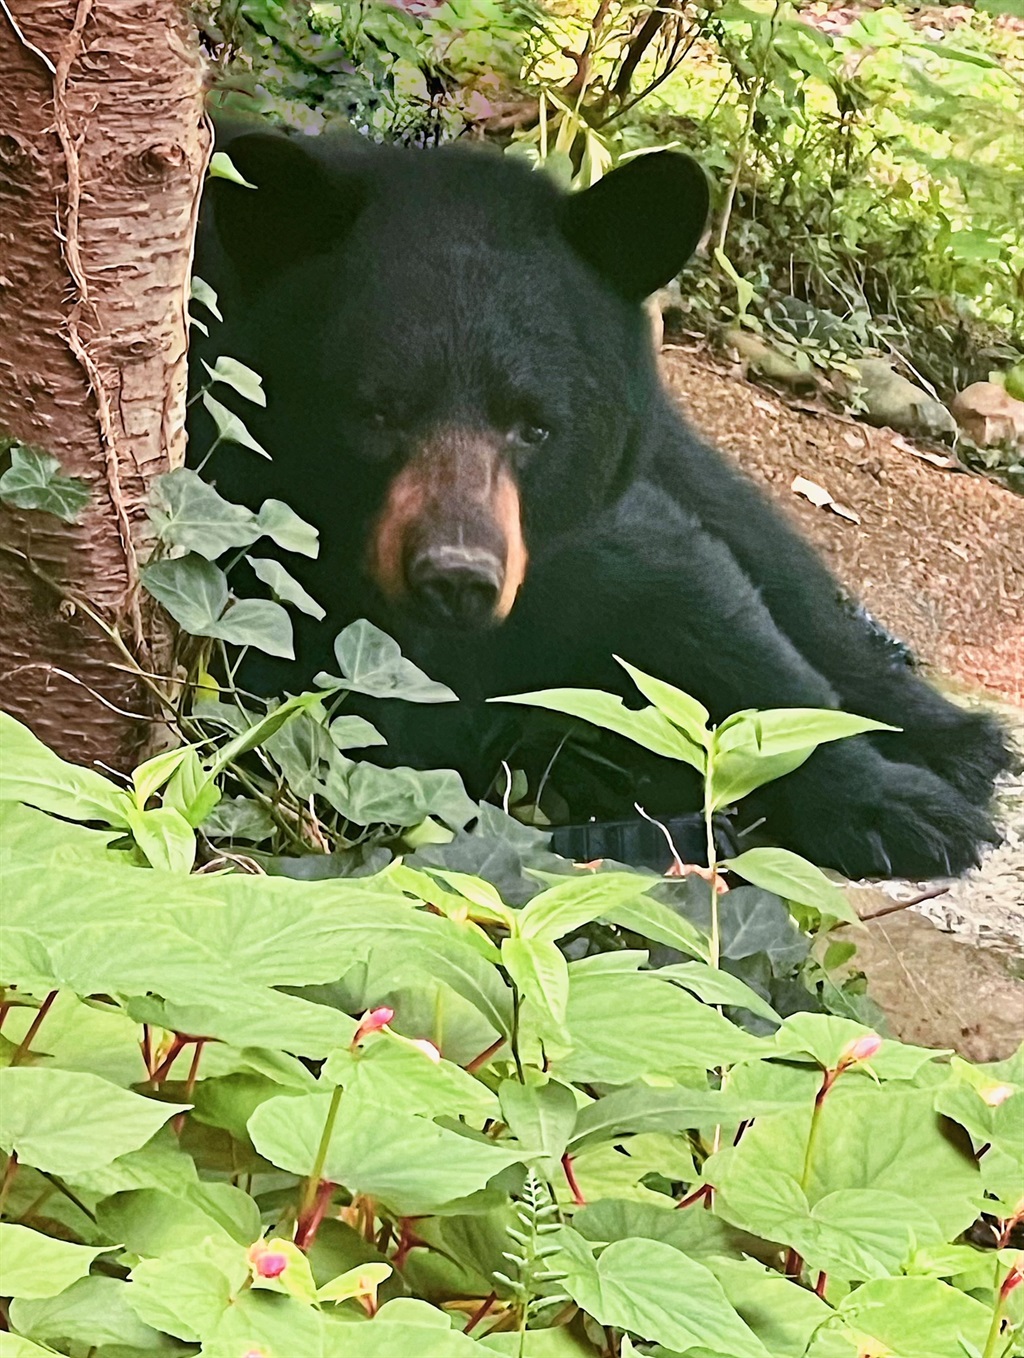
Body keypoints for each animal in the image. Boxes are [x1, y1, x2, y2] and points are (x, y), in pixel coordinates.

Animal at [187, 119, 1010, 879]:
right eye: (378, 414)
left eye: (535, 425)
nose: (455, 578)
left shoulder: (573, 528)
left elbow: (701, 605)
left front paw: (902, 810)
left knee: (775, 562)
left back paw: (959, 740)